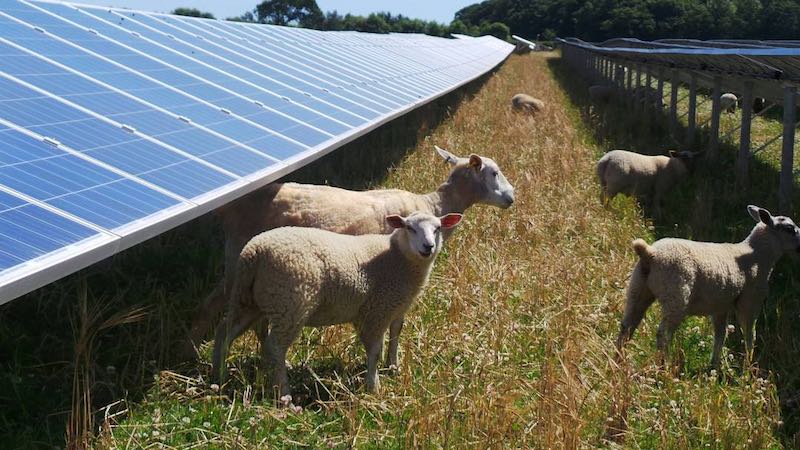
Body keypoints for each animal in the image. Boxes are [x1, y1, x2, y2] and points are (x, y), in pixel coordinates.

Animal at [191, 147, 516, 370]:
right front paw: (392, 365)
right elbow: (396, 325)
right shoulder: (396, 277)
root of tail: (231, 208)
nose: (511, 198)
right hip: (242, 261)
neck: (435, 205)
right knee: (212, 306)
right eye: (493, 172)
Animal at [212, 211, 462, 394]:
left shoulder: (396, 307)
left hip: (250, 300)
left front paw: (393, 367)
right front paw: (373, 386)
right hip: (291, 303)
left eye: (437, 228)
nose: (428, 247)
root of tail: (254, 251)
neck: (396, 258)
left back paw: (218, 376)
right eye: (410, 228)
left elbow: (395, 335)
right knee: (275, 346)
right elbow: (374, 349)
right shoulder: (376, 310)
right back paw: (284, 395)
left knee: (225, 332)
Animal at [620, 206, 800, 368]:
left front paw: (714, 366)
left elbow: (720, 335)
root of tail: (650, 253)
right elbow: (750, 335)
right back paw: (663, 367)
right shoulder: (749, 302)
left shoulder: (721, 306)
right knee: (663, 334)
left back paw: (619, 359)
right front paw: (748, 368)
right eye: (790, 229)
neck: (758, 255)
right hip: (676, 295)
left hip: (638, 288)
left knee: (627, 326)